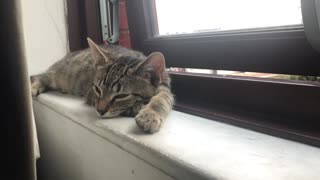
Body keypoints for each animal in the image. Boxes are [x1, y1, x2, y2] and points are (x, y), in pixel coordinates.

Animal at [31, 38, 174, 133]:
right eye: (97, 89)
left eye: (121, 95)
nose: (100, 110)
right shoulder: (90, 94)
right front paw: (137, 107)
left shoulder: (164, 86)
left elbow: (163, 97)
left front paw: (150, 114)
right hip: (58, 74)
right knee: (41, 76)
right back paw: (33, 87)